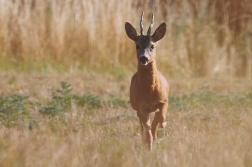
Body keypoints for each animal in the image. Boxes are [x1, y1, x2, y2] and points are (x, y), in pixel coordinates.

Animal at [124, 12, 168, 149]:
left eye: (152, 46)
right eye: (137, 46)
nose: (144, 58)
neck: (150, 92)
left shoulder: (164, 100)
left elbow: (161, 117)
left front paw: (163, 125)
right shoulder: (141, 107)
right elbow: (147, 127)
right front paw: (149, 145)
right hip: (136, 107)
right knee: (142, 125)